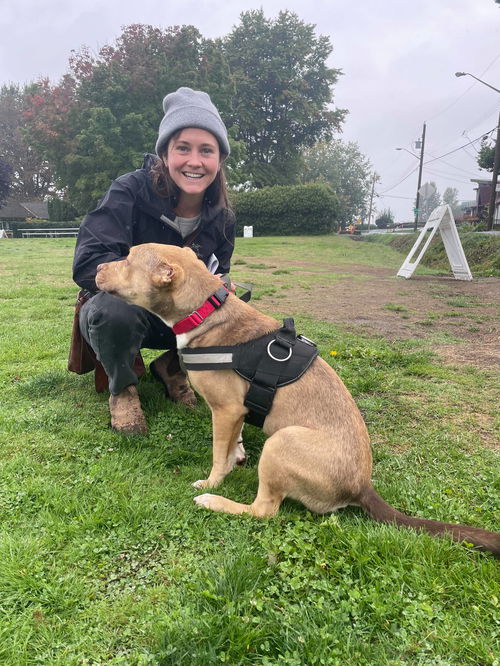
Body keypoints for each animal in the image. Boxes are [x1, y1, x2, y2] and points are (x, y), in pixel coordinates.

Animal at [96, 241, 500, 552]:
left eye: (128, 259)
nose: (98, 266)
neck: (204, 312)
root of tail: (361, 487)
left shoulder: (224, 411)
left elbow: (217, 456)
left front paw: (212, 482)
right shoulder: (237, 413)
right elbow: (232, 446)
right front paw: (235, 457)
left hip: (281, 442)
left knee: (263, 511)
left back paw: (213, 501)